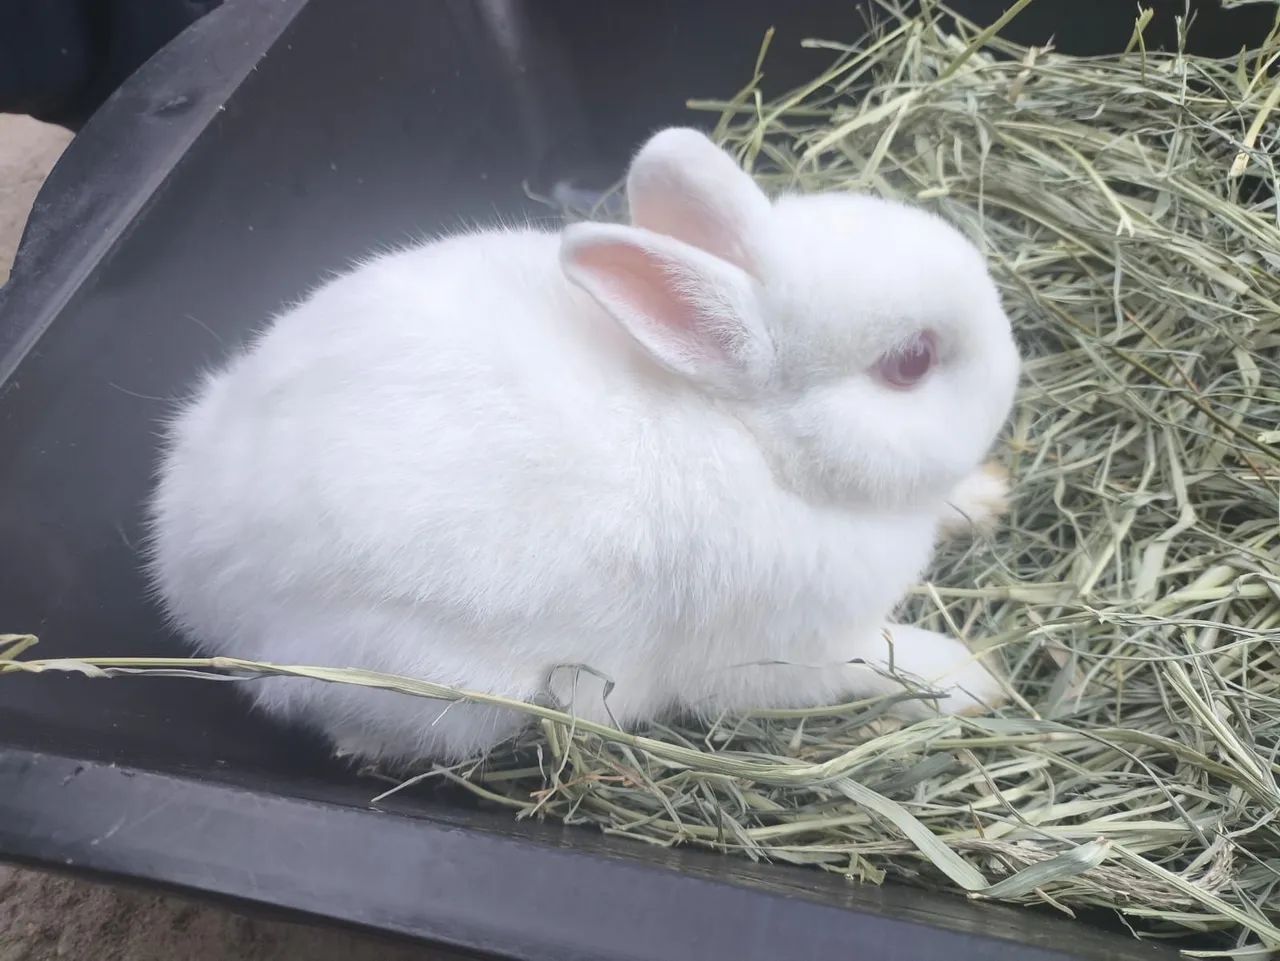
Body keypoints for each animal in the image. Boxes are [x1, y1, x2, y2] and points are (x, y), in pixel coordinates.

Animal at [147, 127, 1021, 766]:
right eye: (911, 362)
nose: (1016, 367)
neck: (756, 439)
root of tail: (184, 568)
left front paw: (986, 495)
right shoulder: (800, 649)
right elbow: (885, 657)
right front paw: (976, 676)